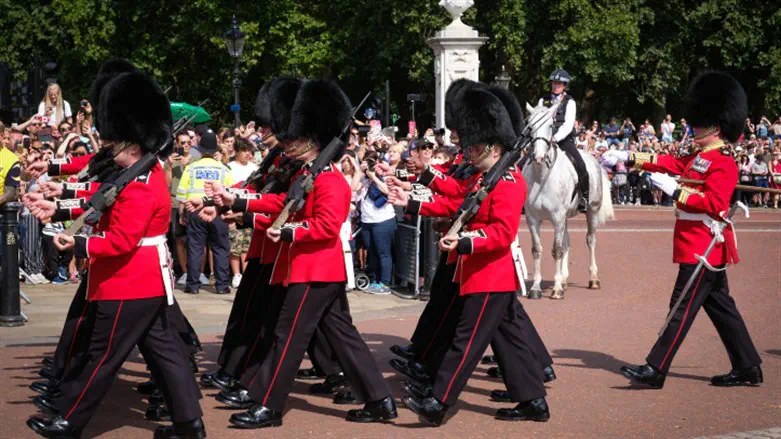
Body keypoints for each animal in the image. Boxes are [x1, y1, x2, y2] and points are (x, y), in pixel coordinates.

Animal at [520, 103, 612, 300]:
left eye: (550, 125)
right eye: (530, 126)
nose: (538, 156)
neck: (542, 177)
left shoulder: (557, 218)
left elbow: (556, 250)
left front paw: (556, 290)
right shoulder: (533, 219)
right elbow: (537, 250)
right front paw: (536, 288)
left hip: (591, 212)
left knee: (591, 240)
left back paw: (593, 279)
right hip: (565, 218)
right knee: (566, 241)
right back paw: (564, 279)